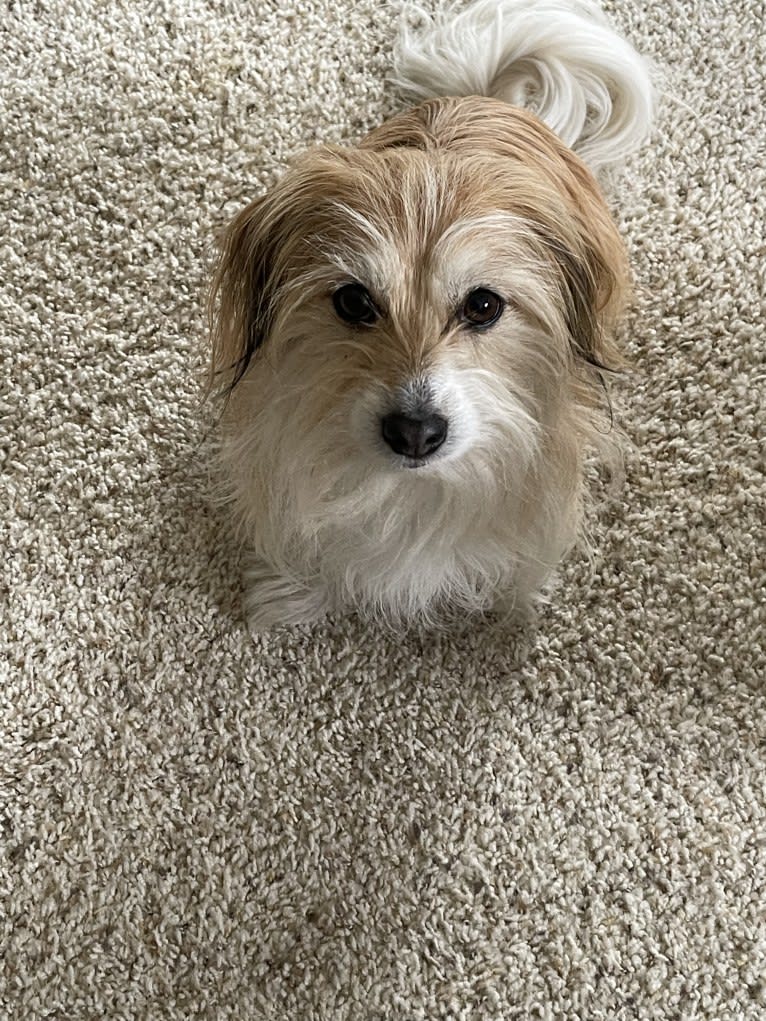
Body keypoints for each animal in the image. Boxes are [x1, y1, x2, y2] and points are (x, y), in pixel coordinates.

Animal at [208, 0, 653, 628]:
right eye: (353, 301)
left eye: (484, 305)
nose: (415, 433)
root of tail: (484, 98)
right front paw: (293, 593)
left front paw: (516, 605)